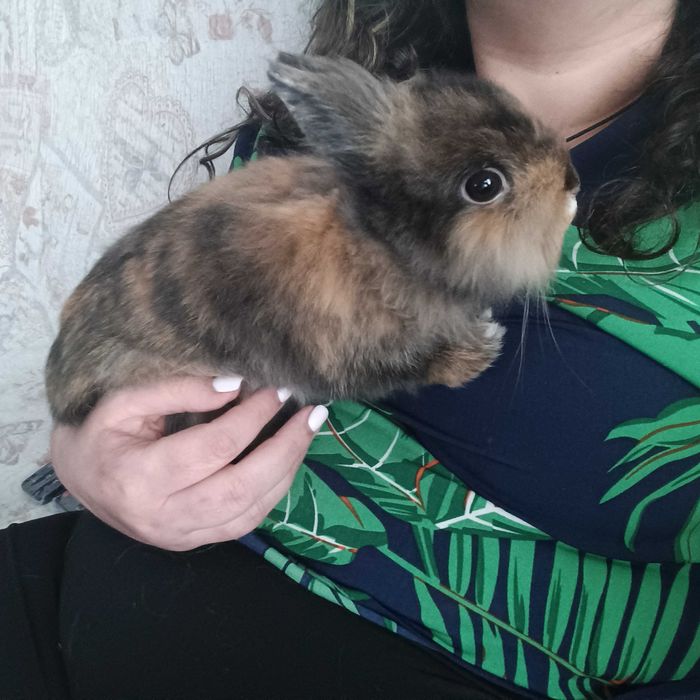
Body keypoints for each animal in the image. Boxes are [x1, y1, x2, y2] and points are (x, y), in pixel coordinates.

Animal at [45, 52, 579, 428]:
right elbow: (413, 366)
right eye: (484, 185)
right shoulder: (350, 352)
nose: (573, 182)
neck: (382, 244)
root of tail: (59, 395)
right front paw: (480, 352)